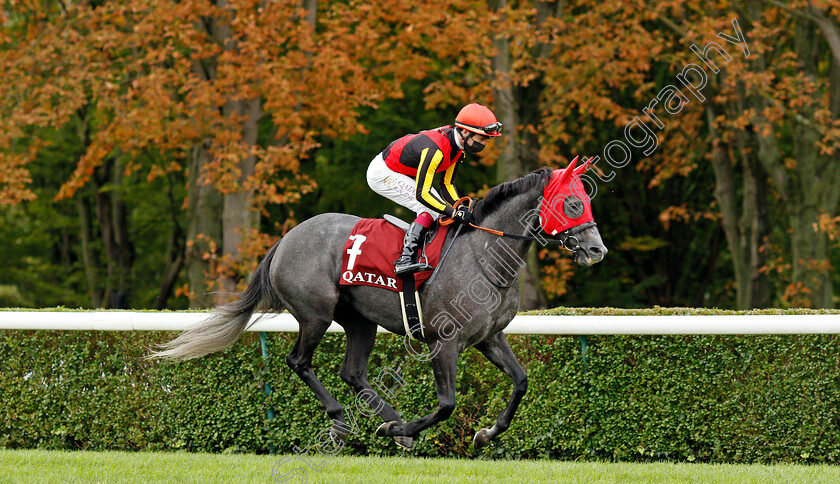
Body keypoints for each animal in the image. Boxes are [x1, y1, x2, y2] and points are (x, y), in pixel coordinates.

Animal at [151, 163, 608, 450]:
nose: (597, 250)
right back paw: (345, 422)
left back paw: (389, 422)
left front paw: (484, 433)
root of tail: (286, 238)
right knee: (299, 361)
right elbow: (446, 404)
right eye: (571, 203)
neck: (485, 254)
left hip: (359, 321)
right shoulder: (444, 341)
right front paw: (406, 428)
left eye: (588, 200)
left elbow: (521, 381)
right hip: (316, 313)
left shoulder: (488, 337)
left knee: (353, 372)